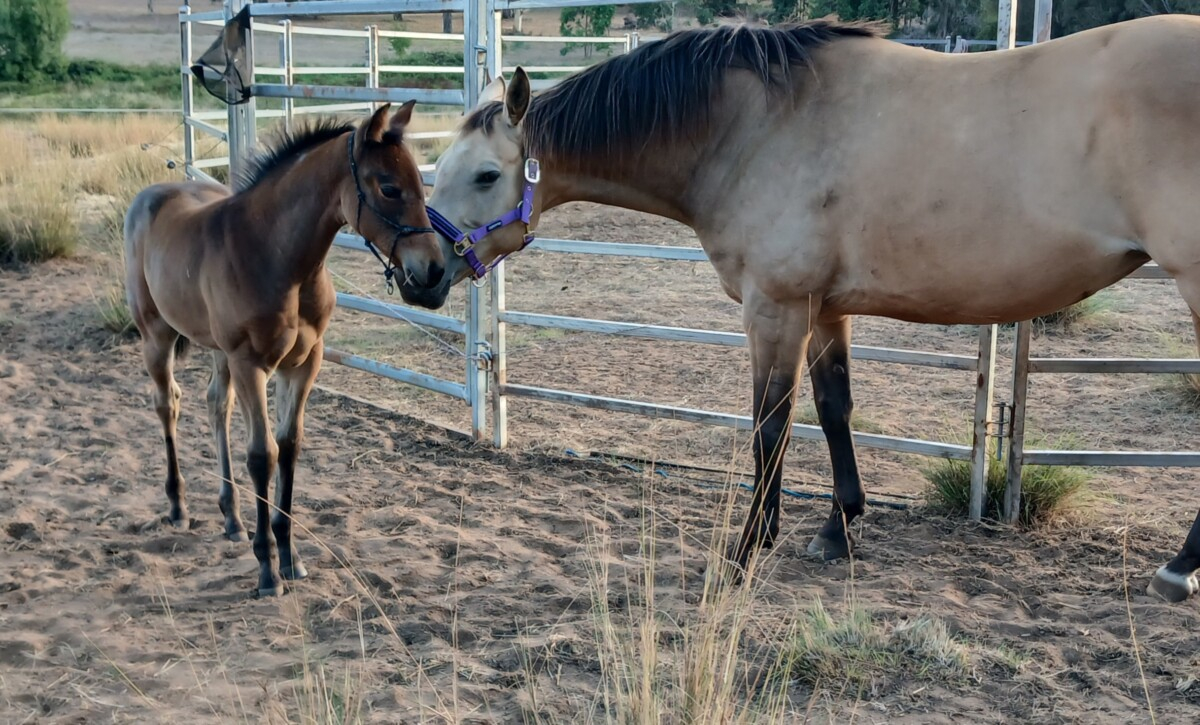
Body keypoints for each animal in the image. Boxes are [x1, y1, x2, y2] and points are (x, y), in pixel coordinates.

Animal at [124, 102, 443, 597]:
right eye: (389, 187)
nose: (433, 271)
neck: (276, 255)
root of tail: (151, 194)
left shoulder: (304, 363)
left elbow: (289, 446)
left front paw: (291, 556)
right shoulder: (250, 363)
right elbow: (262, 455)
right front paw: (268, 569)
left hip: (216, 349)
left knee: (216, 405)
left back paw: (232, 518)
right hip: (156, 334)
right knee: (167, 404)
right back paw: (178, 507)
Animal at [416, 16, 1200, 602]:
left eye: (485, 175)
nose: (417, 272)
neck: (753, 129)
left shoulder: (776, 307)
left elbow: (770, 422)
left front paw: (745, 552)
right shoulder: (825, 308)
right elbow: (832, 408)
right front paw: (837, 530)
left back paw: (1177, 570)